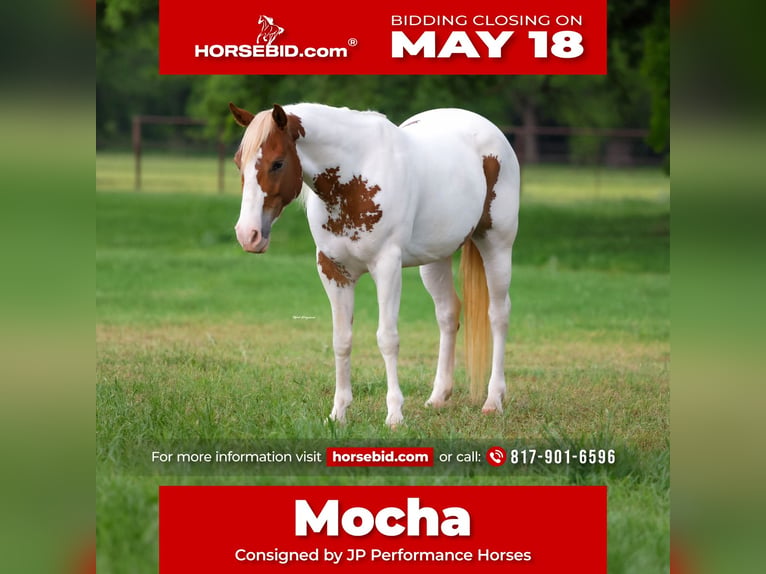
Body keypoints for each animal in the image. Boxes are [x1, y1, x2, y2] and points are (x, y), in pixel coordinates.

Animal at [229, 102, 520, 427]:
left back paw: (493, 400)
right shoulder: (332, 271)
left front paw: (394, 415)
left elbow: (387, 339)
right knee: (447, 314)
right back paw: (437, 397)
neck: (354, 177)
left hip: (497, 245)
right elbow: (341, 340)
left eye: (278, 163)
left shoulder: (387, 266)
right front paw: (338, 414)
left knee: (498, 315)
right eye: (238, 162)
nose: (248, 234)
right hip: (435, 258)